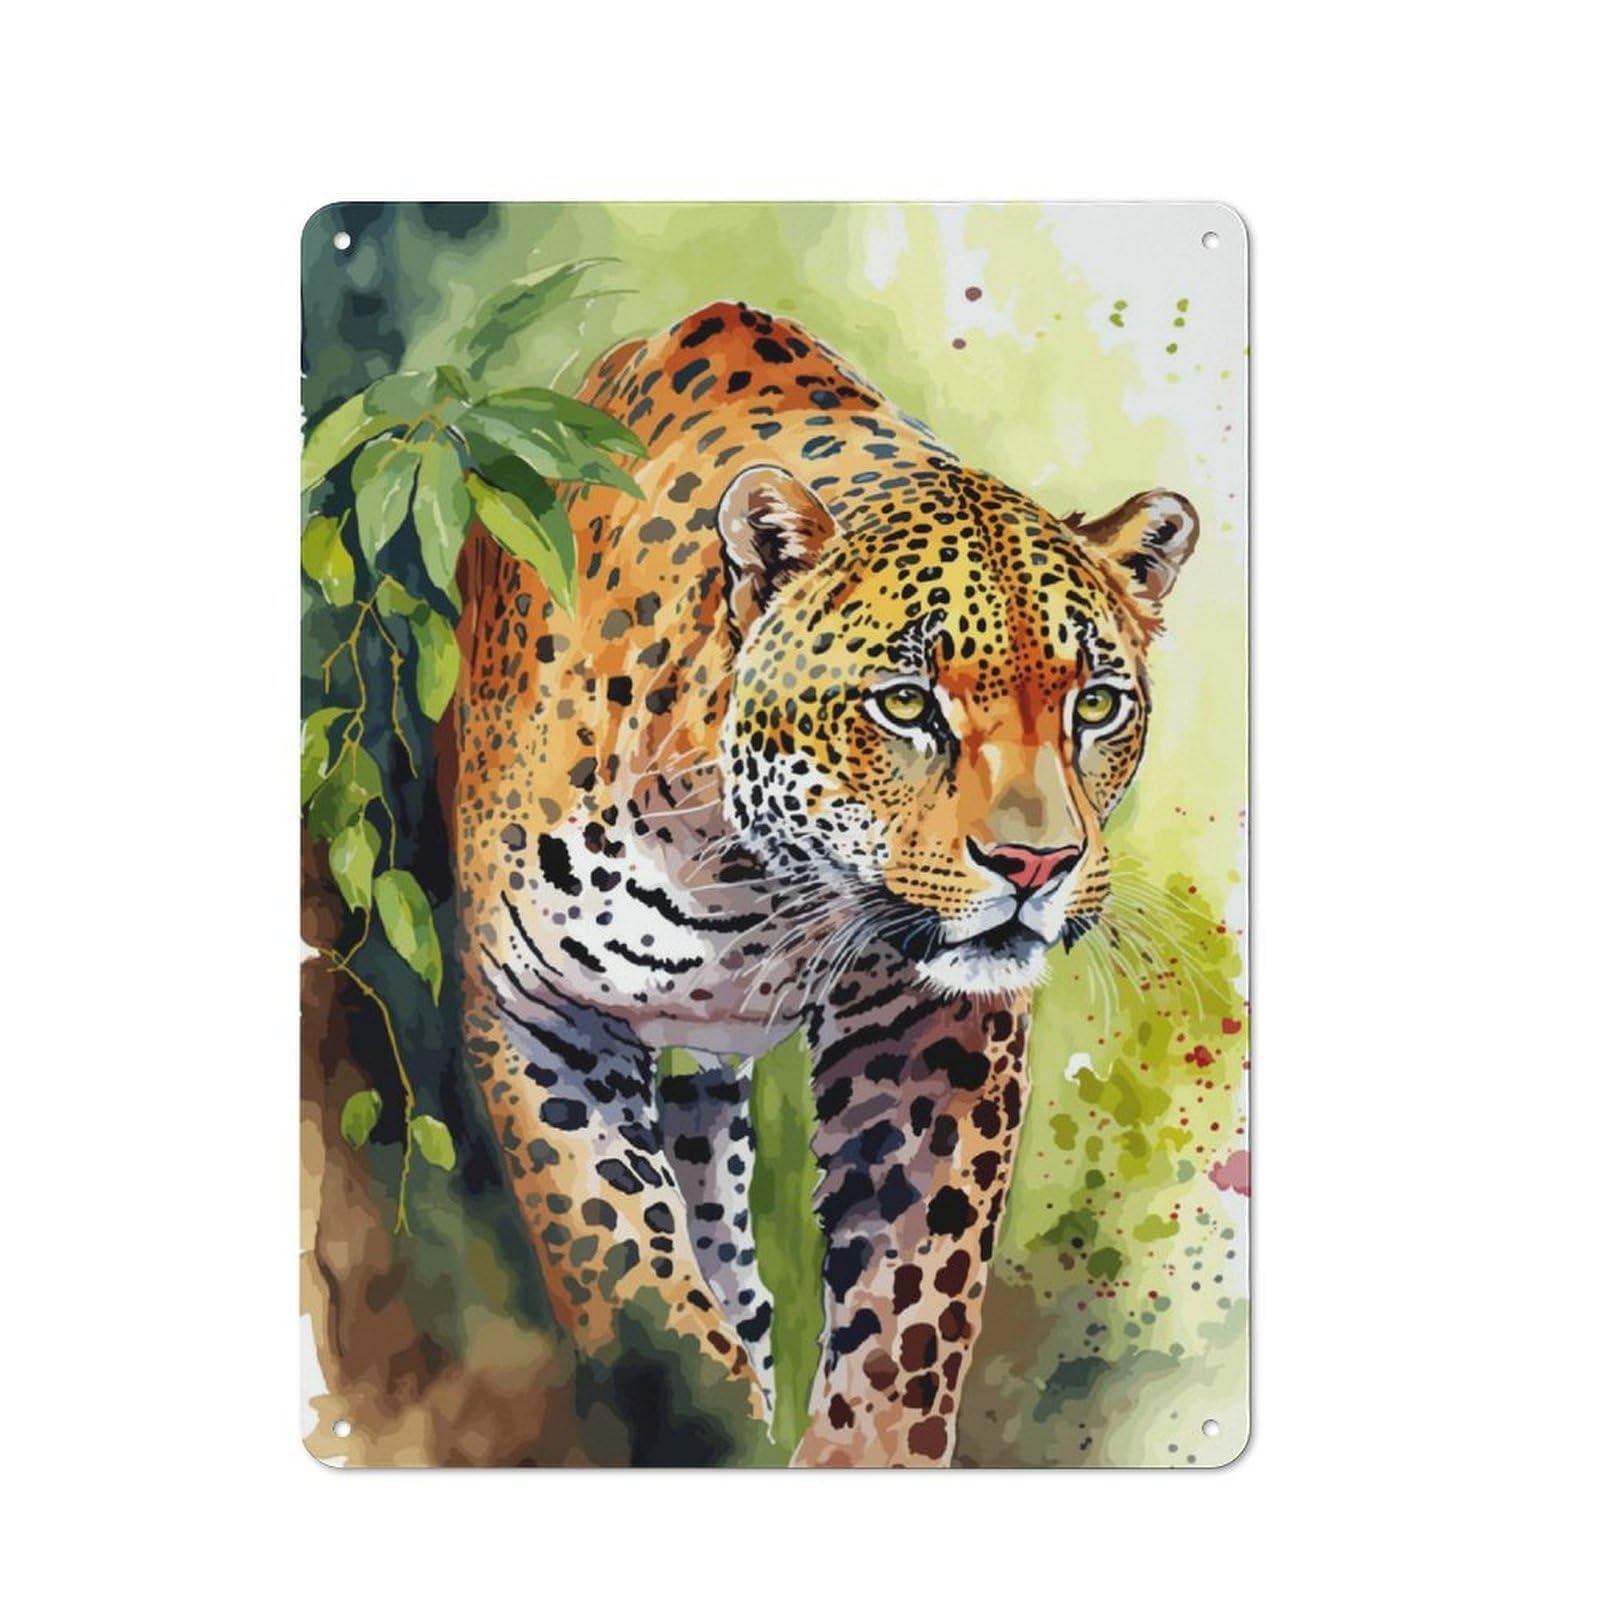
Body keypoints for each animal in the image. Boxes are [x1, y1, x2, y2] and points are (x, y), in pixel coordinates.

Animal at [449, 301, 1197, 1467]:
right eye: (904, 703)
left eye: (1096, 704)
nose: (1035, 865)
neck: (744, 884)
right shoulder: (539, 1011)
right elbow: (621, 1260)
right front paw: (682, 1415)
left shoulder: (931, 1029)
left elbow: (909, 1309)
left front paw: (859, 1451)